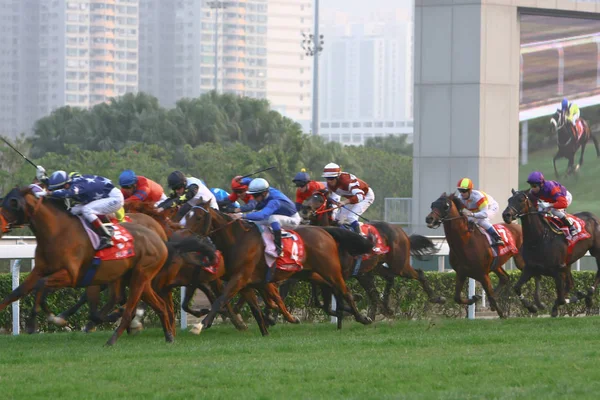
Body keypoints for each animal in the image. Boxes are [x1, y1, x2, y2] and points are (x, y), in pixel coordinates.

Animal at [0, 189, 173, 346]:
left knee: (130, 308)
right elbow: (15, 294)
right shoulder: (41, 270)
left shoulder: (72, 276)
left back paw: (113, 338)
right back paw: (168, 335)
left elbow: (41, 285)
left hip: (139, 275)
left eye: (12, 203)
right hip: (135, 278)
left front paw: (36, 322)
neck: (58, 232)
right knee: (157, 304)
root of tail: (159, 238)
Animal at [183, 203, 372, 334]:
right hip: (308, 272)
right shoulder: (249, 282)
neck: (237, 239)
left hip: (330, 269)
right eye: (186, 215)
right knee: (331, 287)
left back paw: (362, 317)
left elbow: (221, 299)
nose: (185, 235)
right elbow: (264, 304)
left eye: (198, 217)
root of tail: (324, 231)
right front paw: (272, 323)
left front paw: (200, 325)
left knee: (344, 290)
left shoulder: (240, 278)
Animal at [308, 190, 442, 318]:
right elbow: (318, 300)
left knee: (418, 274)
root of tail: (401, 232)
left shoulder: (347, 273)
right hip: (375, 267)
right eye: (308, 198)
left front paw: (355, 302)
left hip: (399, 265)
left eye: (320, 200)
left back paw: (437, 298)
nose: (306, 209)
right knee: (386, 280)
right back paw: (383, 310)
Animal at [502, 189, 600, 318]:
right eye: (509, 200)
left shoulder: (558, 270)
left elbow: (561, 298)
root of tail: (594, 216)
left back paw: (589, 294)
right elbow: (516, 287)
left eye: (520, 200)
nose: (506, 215)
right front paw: (532, 307)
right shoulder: (530, 268)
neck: (540, 238)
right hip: (568, 264)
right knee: (570, 284)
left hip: (596, 252)